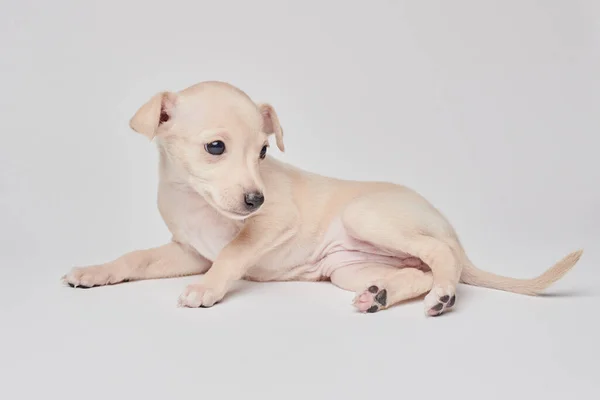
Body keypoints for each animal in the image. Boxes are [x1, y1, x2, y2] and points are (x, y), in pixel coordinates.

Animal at [63, 81, 584, 318]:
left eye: (264, 152)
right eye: (215, 148)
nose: (254, 198)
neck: (196, 201)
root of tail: (451, 228)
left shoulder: (271, 224)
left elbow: (233, 253)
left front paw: (207, 289)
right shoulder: (187, 251)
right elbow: (135, 258)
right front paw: (93, 272)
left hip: (367, 216)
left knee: (439, 256)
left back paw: (443, 294)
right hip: (347, 268)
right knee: (414, 271)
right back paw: (381, 294)